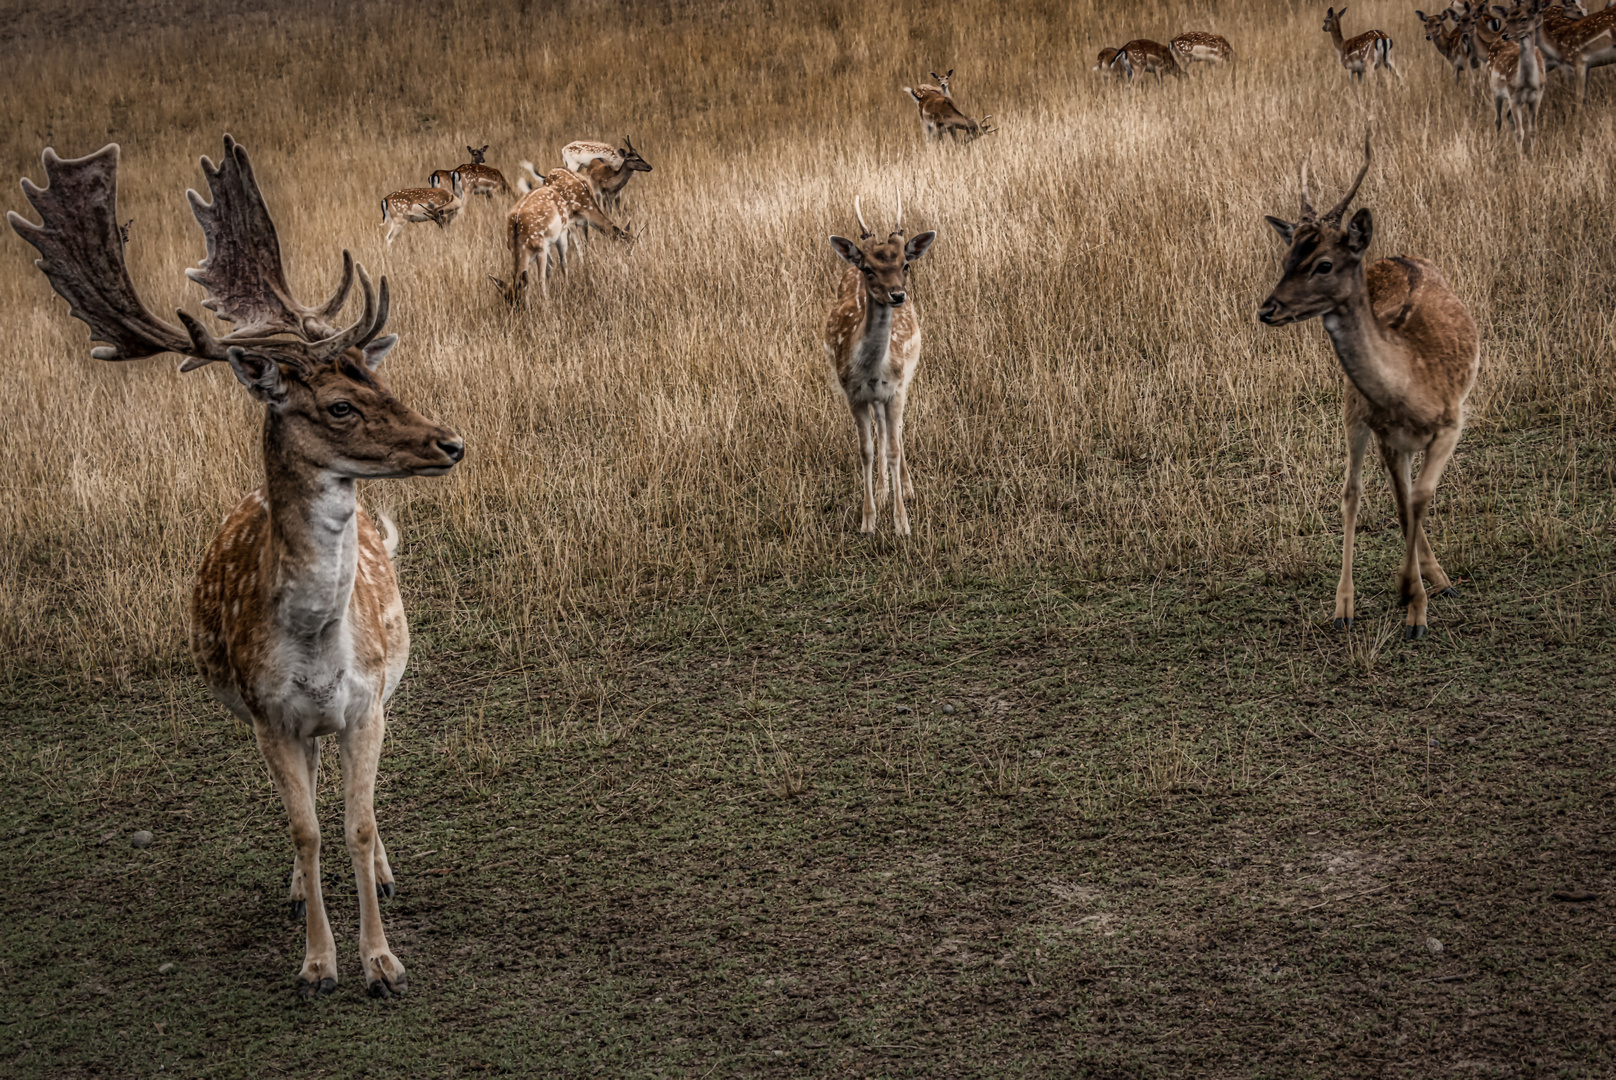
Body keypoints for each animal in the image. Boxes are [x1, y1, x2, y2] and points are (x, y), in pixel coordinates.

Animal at [820, 196, 937, 536]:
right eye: (869, 269)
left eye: (905, 265)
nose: (897, 294)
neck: (872, 370)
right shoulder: (853, 394)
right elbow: (866, 450)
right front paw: (868, 520)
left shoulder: (895, 389)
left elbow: (894, 448)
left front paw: (902, 524)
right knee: (883, 430)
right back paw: (884, 492)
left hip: (905, 382)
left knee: (895, 431)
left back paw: (905, 489)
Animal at [1254, 135, 1480, 640]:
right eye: (1286, 259)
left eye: (1323, 264)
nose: (1267, 309)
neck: (1410, 387)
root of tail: (1395, 254)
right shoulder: (1385, 433)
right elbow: (1398, 502)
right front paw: (1412, 601)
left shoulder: (1452, 420)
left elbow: (1417, 498)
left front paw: (1414, 596)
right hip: (1352, 408)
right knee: (1352, 492)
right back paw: (1345, 607)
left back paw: (1441, 580)